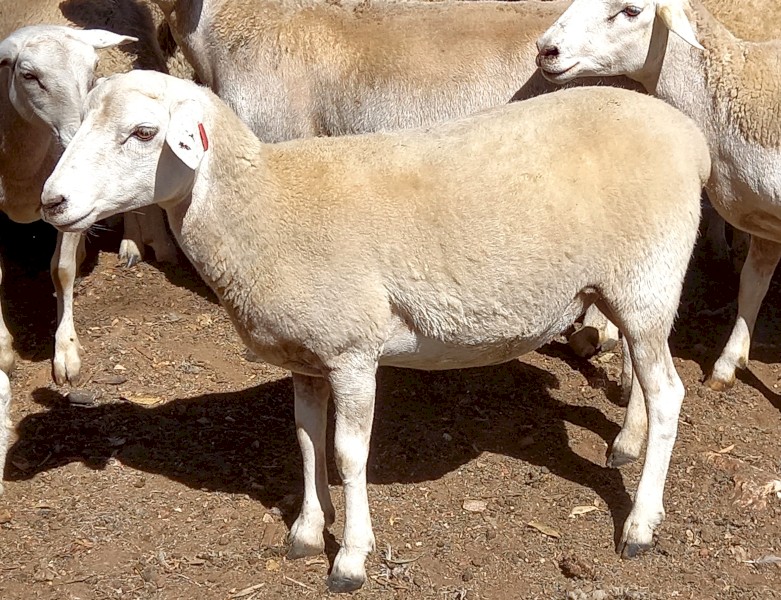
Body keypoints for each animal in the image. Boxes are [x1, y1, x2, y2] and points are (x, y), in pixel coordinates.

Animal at [40, 70, 710, 591]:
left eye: (144, 133)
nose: (51, 202)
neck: (262, 206)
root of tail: (690, 138)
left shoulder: (352, 351)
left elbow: (347, 452)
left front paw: (351, 558)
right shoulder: (306, 357)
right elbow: (306, 439)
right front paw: (307, 530)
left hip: (647, 279)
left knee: (669, 394)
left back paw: (640, 524)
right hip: (626, 290)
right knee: (646, 380)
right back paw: (625, 443)